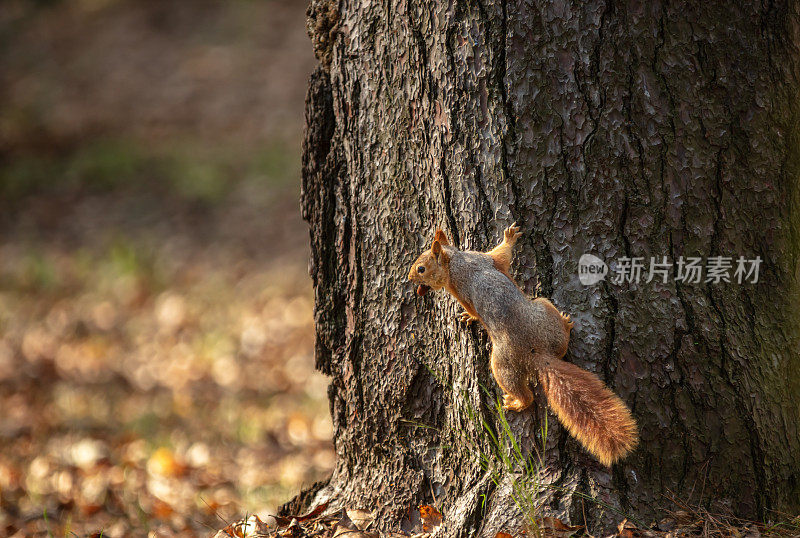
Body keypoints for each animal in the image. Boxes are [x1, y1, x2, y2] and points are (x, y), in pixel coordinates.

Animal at [406, 222, 636, 464]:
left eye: (421, 268)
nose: (410, 279)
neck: (454, 261)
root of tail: (536, 353)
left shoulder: (477, 269)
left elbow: (501, 256)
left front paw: (509, 237)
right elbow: (500, 259)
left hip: (513, 348)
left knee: (530, 392)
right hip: (534, 324)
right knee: (546, 370)